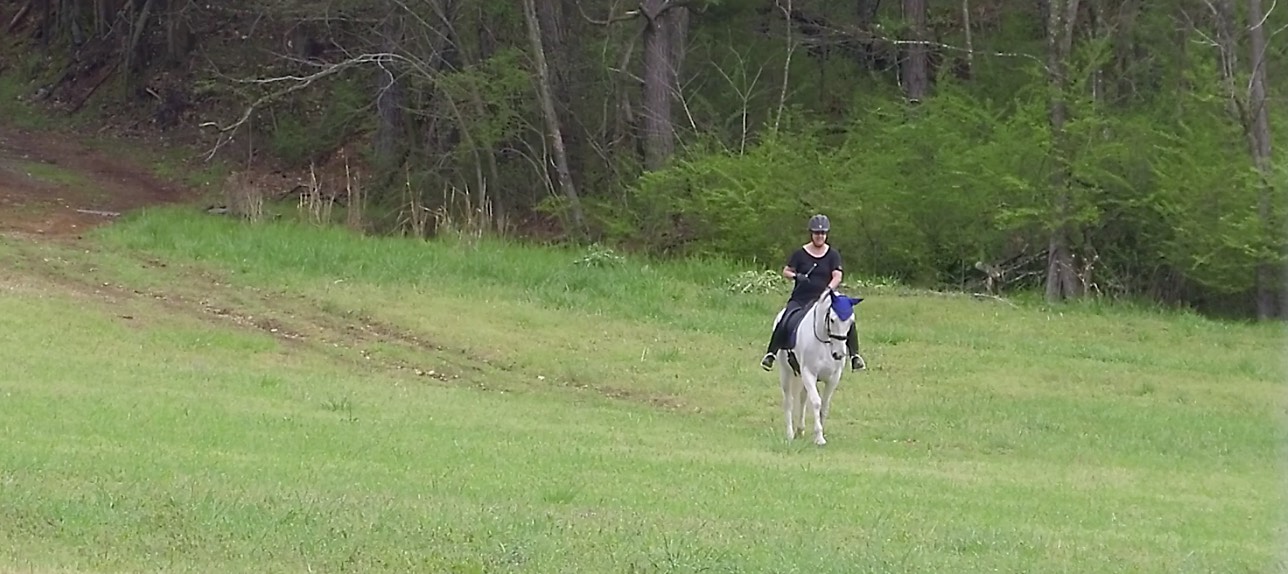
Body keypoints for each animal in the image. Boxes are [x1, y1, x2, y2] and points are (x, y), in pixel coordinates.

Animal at [767, 289, 860, 445]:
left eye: (851, 322)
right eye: (832, 319)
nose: (838, 354)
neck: (825, 343)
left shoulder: (833, 378)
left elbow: (824, 405)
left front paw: (820, 433)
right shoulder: (809, 374)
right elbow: (816, 403)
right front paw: (819, 437)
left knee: (803, 398)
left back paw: (800, 430)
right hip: (786, 373)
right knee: (789, 401)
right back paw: (790, 434)